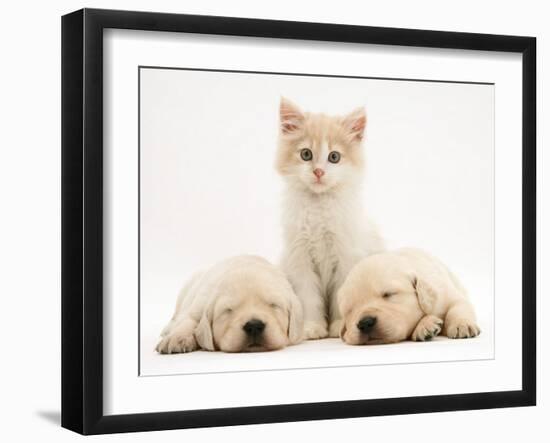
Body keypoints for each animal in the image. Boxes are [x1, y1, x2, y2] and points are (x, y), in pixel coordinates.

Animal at [155, 256, 304, 354]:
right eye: (228, 310)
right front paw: (176, 339)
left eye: (274, 305)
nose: (254, 326)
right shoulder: (199, 303)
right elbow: (189, 320)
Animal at [278, 97, 386, 340]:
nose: (318, 172)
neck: (319, 206)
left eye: (334, 157)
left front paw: (338, 327)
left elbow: (341, 295)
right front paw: (312, 328)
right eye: (306, 154)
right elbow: (309, 297)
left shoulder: (346, 255)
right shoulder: (300, 259)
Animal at [338, 248, 480, 346]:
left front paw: (461, 325)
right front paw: (426, 324)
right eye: (349, 310)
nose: (365, 323)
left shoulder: (446, 293)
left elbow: (458, 306)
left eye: (388, 294)